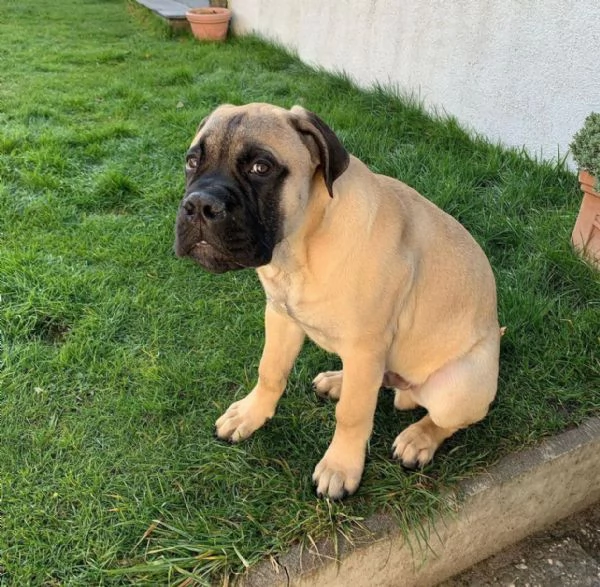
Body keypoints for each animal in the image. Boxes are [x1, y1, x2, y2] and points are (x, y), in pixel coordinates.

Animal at [175, 103, 502, 498]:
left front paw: (340, 466)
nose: (199, 205)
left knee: (444, 419)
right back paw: (338, 381)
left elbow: (352, 415)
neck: (301, 249)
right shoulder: (281, 317)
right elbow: (270, 371)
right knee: (378, 381)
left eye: (261, 168)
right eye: (192, 161)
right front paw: (251, 414)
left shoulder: (365, 345)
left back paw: (418, 439)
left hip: (457, 384)